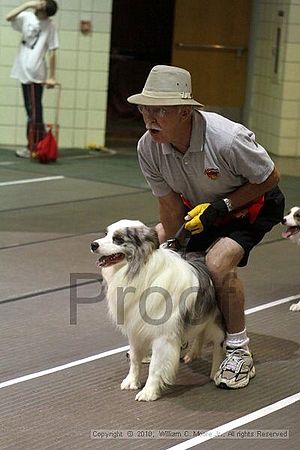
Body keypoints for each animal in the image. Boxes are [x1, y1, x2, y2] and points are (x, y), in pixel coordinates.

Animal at [91, 221, 225, 400]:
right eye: (106, 234)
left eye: (118, 239)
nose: (93, 245)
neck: (139, 270)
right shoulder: (135, 329)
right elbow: (135, 359)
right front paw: (132, 381)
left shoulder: (163, 336)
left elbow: (155, 367)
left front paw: (149, 392)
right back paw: (193, 353)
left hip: (216, 321)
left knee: (219, 344)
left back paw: (216, 370)